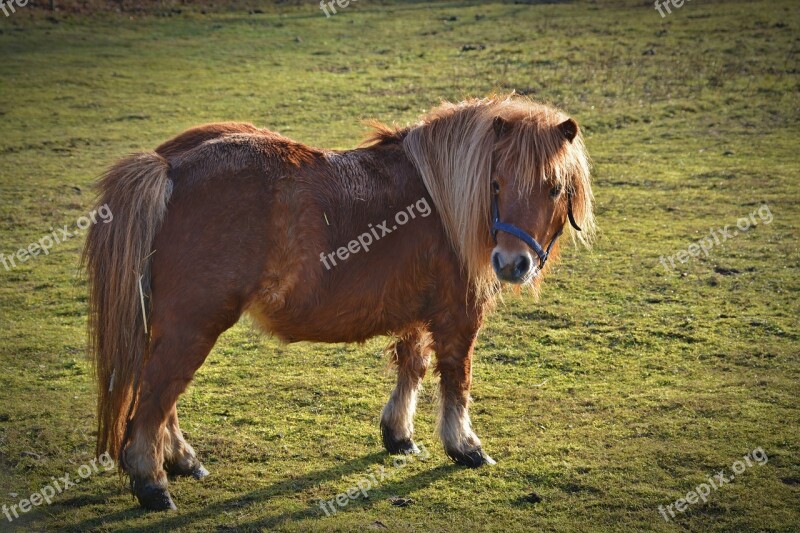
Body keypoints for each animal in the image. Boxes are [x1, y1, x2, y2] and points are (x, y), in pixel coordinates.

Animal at [83, 93, 592, 510]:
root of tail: (168, 165)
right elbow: (456, 379)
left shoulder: (416, 312)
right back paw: (152, 483)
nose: (512, 263)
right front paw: (464, 446)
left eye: (553, 187)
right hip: (194, 323)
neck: (444, 202)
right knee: (157, 395)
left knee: (160, 395)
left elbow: (412, 364)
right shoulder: (458, 315)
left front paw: (398, 435)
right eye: (497, 184)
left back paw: (182, 461)